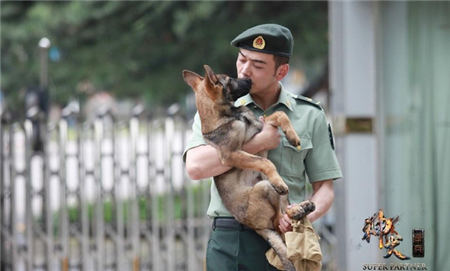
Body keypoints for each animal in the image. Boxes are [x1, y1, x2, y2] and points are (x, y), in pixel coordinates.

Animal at [181, 66, 314, 271]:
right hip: (264, 187)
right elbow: (265, 163)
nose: (250, 80)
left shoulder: (261, 130)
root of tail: (256, 227)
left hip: (272, 192)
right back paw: (286, 196)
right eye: (229, 79)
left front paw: (292, 136)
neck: (230, 116)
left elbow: (279, 114)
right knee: (278, 221)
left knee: (285, 212)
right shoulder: (231, 155)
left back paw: (301, 208)